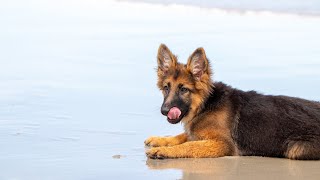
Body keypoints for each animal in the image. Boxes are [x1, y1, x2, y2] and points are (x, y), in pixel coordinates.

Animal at [145, 44, 320, 160]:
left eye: (183, 89)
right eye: (166, 88)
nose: (164, 110)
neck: (205, 105)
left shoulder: (222, 144)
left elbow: (189, 145)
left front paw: (163, 150)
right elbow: (182, 136)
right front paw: (160, 140)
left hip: (295, 149)